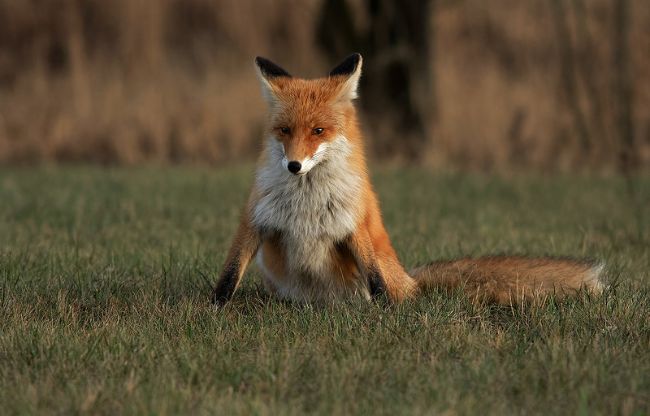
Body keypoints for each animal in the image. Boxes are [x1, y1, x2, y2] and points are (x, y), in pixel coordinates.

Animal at [211, 52, 604, 306]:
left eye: (318, 131)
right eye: (285, 131)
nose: (294, 165)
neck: (306, 200)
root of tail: (411, 278)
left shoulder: (354, 225)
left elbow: (374, 278)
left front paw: (388, 314)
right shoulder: (255, 218)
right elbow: (230, 273)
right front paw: (214, 308)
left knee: (387, 285)